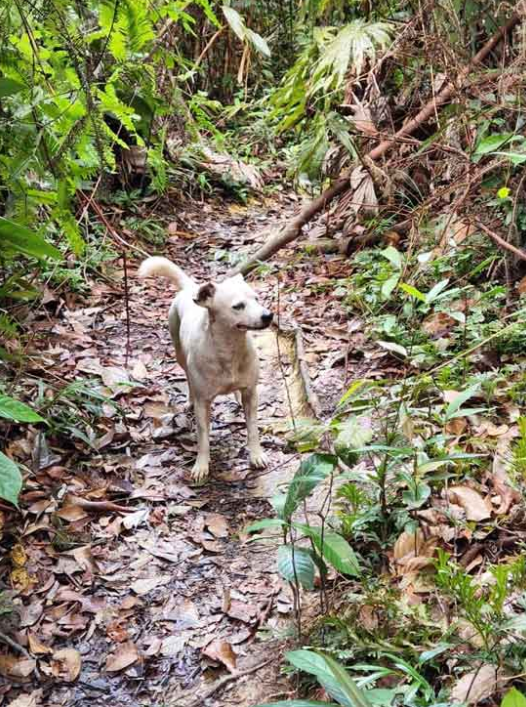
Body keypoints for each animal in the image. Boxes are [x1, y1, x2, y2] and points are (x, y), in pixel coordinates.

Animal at [138, 258, 274, 484]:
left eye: (257, 298)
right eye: (238, 306)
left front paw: (256, 455)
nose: (268, 315)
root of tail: (190, 287)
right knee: (188, 378)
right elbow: (203, 437)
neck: (229, 349)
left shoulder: (251, 393)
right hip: (179, 353)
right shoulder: (203, 403)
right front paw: (202, 465)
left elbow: (253, 428)